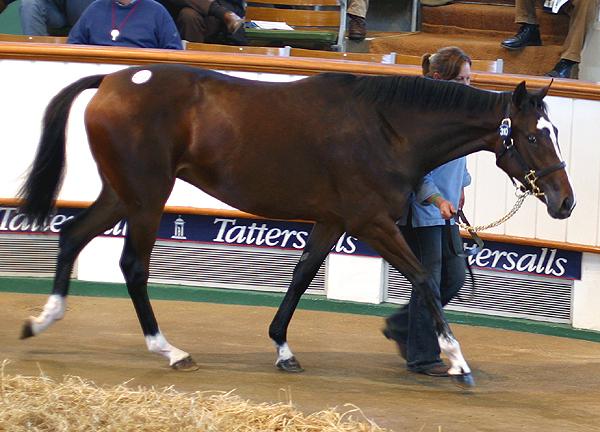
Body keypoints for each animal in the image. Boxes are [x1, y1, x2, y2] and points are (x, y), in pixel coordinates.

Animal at [18, 65, 575, 387]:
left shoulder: (331, 220)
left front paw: (283, 349)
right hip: (147, 197)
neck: (386, 127)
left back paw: (41, 321)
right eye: (532, 137)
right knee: (132, 265)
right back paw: (170, 351)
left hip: (122, 194)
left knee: (72, 234)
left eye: (555, 132)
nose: (565, 202)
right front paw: (457, 360)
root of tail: (113, 81)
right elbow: (424, 280)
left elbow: (302, 275)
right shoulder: (372, 223)